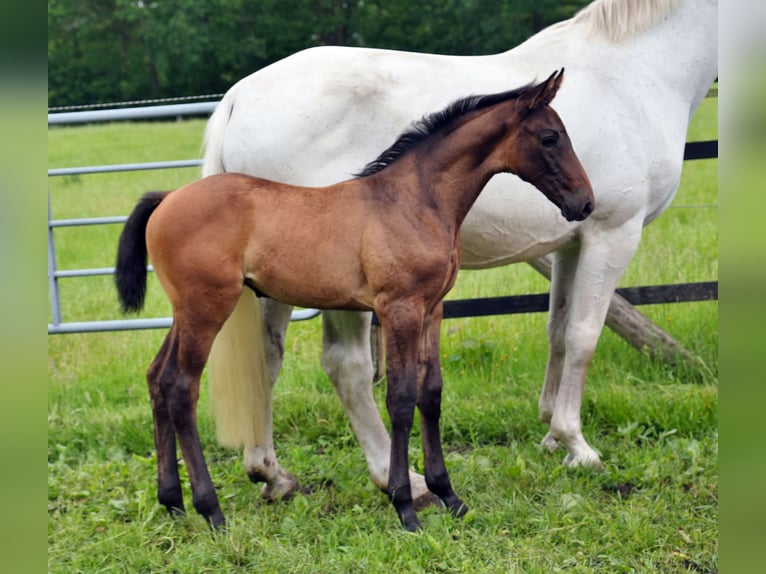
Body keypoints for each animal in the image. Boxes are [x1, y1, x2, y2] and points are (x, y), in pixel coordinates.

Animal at [115, 71, 594, 530]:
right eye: (549, 137)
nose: (585, 203)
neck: (414, 201)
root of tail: (167, 200)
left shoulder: (432, 308)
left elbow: (431, 393)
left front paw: (450, 497)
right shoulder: (399, 308)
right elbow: (401, 399)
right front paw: (406, 506)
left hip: (186, 312)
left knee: (158, 378)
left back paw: (173, 503)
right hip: (207, 307)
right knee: (181, 387)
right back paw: (210, 510)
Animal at [199, 0, 717, 504]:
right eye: (550, 137)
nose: (583, 199)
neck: (633, 70)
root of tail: (237, 97)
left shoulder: (569, 244)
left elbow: (558, 330)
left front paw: (551, 434)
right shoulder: (612, 234)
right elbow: (583, 336)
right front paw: (577, 446)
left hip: (276, 285)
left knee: (266, 358)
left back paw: (272, 474)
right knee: (346, 366)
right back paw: (399, 480)